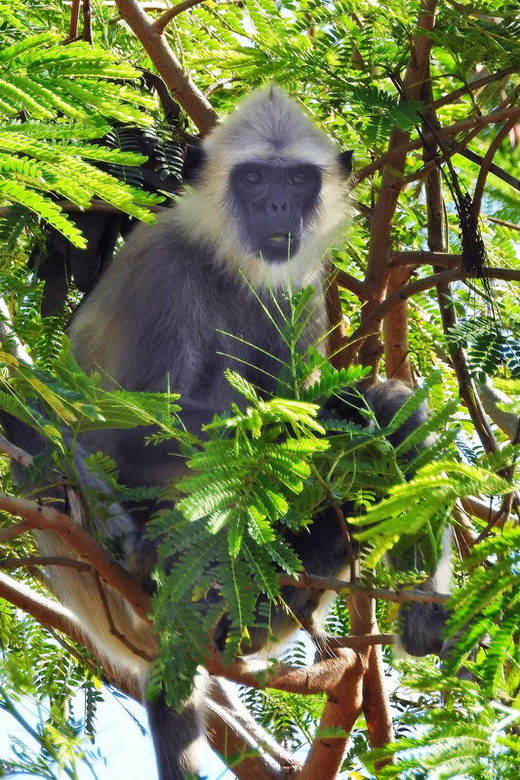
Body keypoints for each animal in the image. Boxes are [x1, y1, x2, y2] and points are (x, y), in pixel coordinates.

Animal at [0, 88, 448, 780]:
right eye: (255, 179)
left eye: (298, 180)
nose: (277, 206)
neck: (226, 260)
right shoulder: (163, 270)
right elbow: (132, 438)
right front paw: (355, 408)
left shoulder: (301, 289)